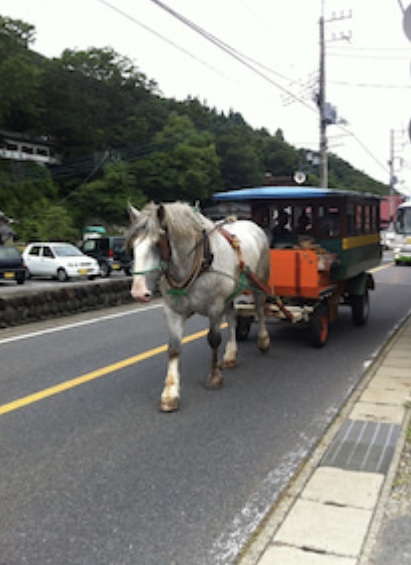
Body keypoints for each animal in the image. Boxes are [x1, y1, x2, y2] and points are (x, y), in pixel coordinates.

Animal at [127, 202, 272, 410]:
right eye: (132, 245)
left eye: (157, 244)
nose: (139, 292)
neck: (197, 262)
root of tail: (253, 224)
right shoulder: (172, 310)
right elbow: (174, 348)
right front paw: (170, 393)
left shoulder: (215, 306)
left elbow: (214, 339)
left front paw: (214, 377)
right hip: (230, 293)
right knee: (232, 319)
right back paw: (230, 355)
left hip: (259, 282)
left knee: (260, 311)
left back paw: (263, 340)